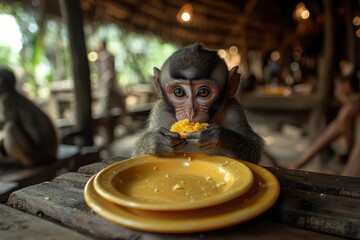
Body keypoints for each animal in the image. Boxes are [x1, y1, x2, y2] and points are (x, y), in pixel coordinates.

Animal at [131, 43, 262, 163]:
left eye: (203, 92)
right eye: (178, 92)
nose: (191, 112)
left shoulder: (234, 110)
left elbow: (254, 149)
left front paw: (218, 137)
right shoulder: (159, 111)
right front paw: (156, 141)